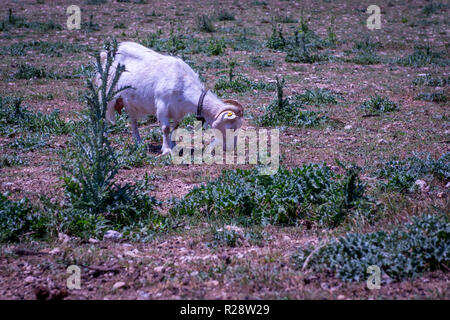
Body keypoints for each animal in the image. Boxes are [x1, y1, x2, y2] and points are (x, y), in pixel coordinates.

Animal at [98, 41, 243, 155]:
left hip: (130, 103)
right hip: (106, 95)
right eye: (231, 128)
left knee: (133, 121)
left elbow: (175, 127)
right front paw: (166, 149)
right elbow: (166, 128)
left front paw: (173, 145)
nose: (232, 148)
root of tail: (106, 54)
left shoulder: (179, 111)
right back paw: (105, 142)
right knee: (105, 117)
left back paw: (138, 142)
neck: (182, 82)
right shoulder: (162, 105)